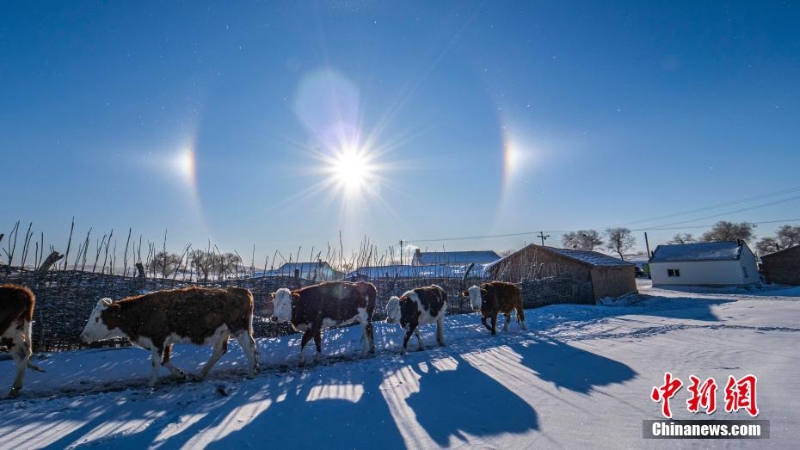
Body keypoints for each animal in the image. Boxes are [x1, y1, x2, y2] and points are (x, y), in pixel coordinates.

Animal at [80, 286, 260, 384]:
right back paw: (201, 374)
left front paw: (151, 383)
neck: (142, 312)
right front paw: (180, 374)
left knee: (249, 346)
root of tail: (242, 290)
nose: (82, 336)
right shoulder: (163, 341)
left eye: (97, 318)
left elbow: (155, 362)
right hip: (223, 331)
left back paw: (252, 372)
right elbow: (165, 360)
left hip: (239, 328)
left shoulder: (157, 339)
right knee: (219, 350)